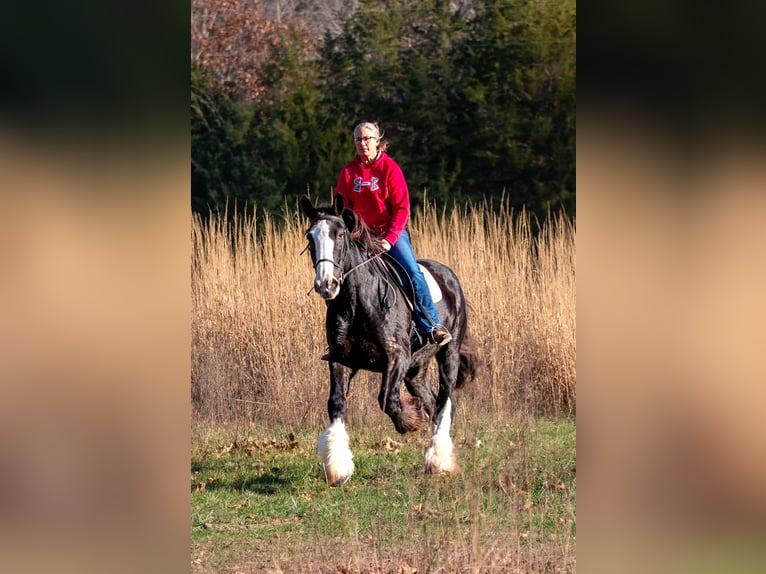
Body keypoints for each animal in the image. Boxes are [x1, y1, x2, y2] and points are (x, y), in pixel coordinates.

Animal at [302, 197, 476, 486]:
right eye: (310, 236)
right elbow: (336, 402)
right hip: (416, 369)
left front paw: (410, 420)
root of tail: (448, 274)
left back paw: (439, 457)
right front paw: (338, 466)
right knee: (432, 400)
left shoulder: (397, 356)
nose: (326, 284)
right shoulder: (340, 359)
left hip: (448, 353)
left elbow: (388, 398)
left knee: (446, 401)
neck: (357, 300)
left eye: (340, 234)